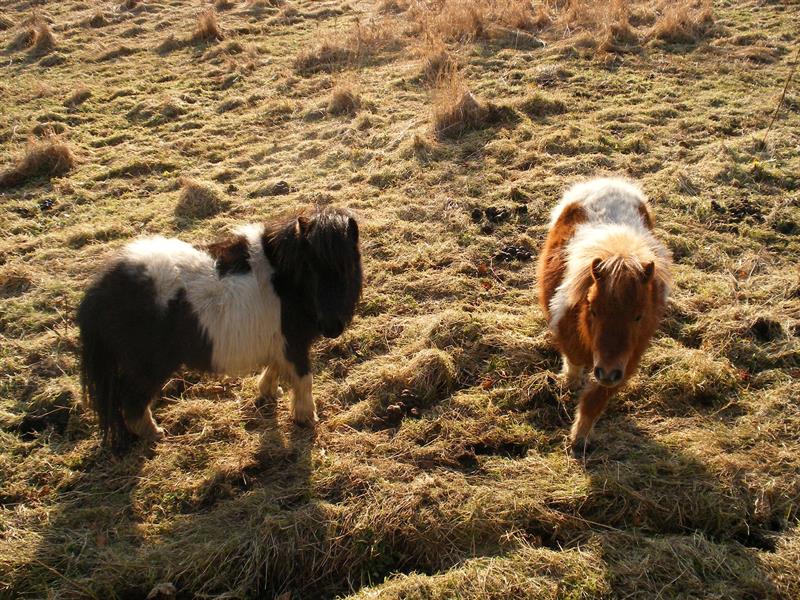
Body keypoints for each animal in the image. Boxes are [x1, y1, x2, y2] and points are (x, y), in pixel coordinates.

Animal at [75, 206, 362, 450]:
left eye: (348, 267)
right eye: (309, 269)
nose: (332, 326)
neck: (285, 279)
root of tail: (100, 291)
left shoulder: (281, 342)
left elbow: (274, 366)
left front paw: (269, 391)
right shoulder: (294, 343)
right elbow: (303, 378)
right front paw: (306, 417)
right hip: (147, 369)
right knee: (132, 403)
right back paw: (154, 434)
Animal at [536, 178, 672, 454]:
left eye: (639, 316)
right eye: (594, 309)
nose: (608, 372)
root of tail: (609, 182)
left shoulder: (627, 363)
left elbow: (594, 401)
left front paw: (579, 439)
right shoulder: (569, 333)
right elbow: (574, 360)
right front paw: (569, 382)